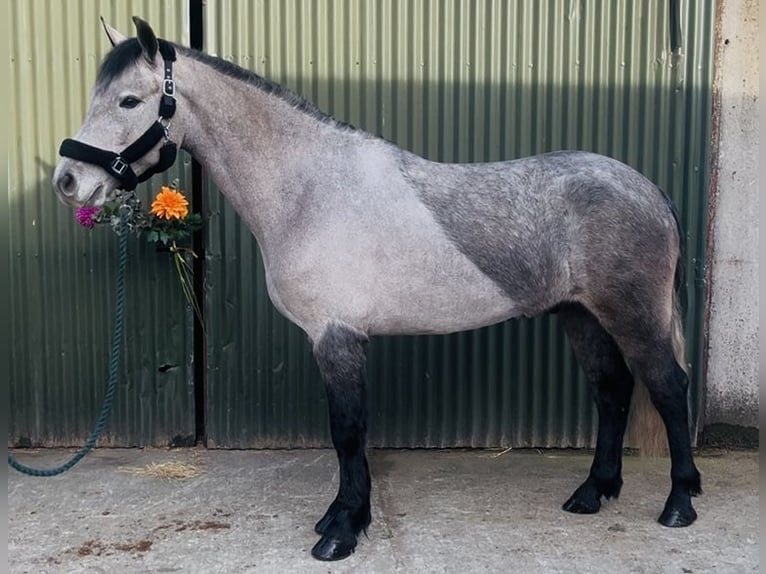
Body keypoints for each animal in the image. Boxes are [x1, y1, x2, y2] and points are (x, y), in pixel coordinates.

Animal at [52, 17, 701, 561]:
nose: (68, 181)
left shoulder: (337, 337)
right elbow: (349, 434)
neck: (309, 189)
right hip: (581, 314)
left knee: (668, 388)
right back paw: (593, 493)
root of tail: (649, 190)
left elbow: (347, 432)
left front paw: (342, 530)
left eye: (129, 100)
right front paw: (341, 518)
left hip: (630, 313)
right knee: (613, 391)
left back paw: (679, 504)